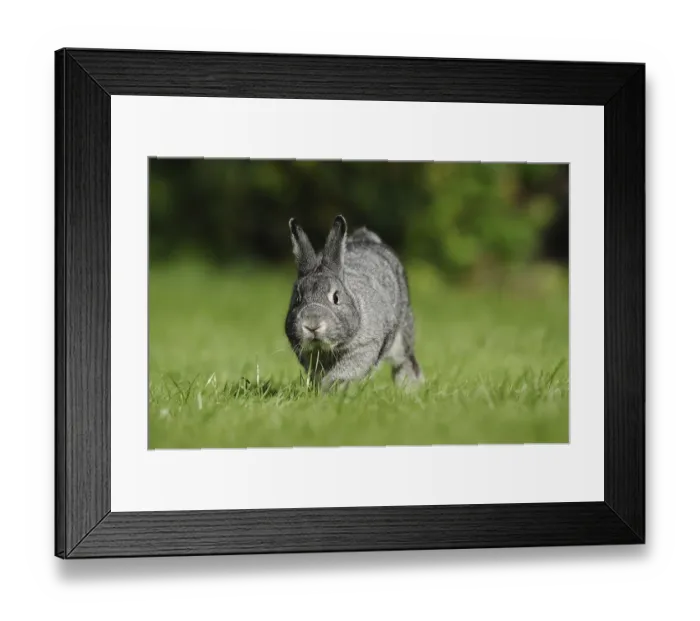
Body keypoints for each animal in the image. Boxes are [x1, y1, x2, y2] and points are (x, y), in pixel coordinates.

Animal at [285, 214, 424, 391]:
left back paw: (409, 389)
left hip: (402, 335)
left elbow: (345, 371)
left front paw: (330, 388)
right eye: (297, 299)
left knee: (405, 361)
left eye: (336, 297)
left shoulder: (364, 347)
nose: (312, 324)